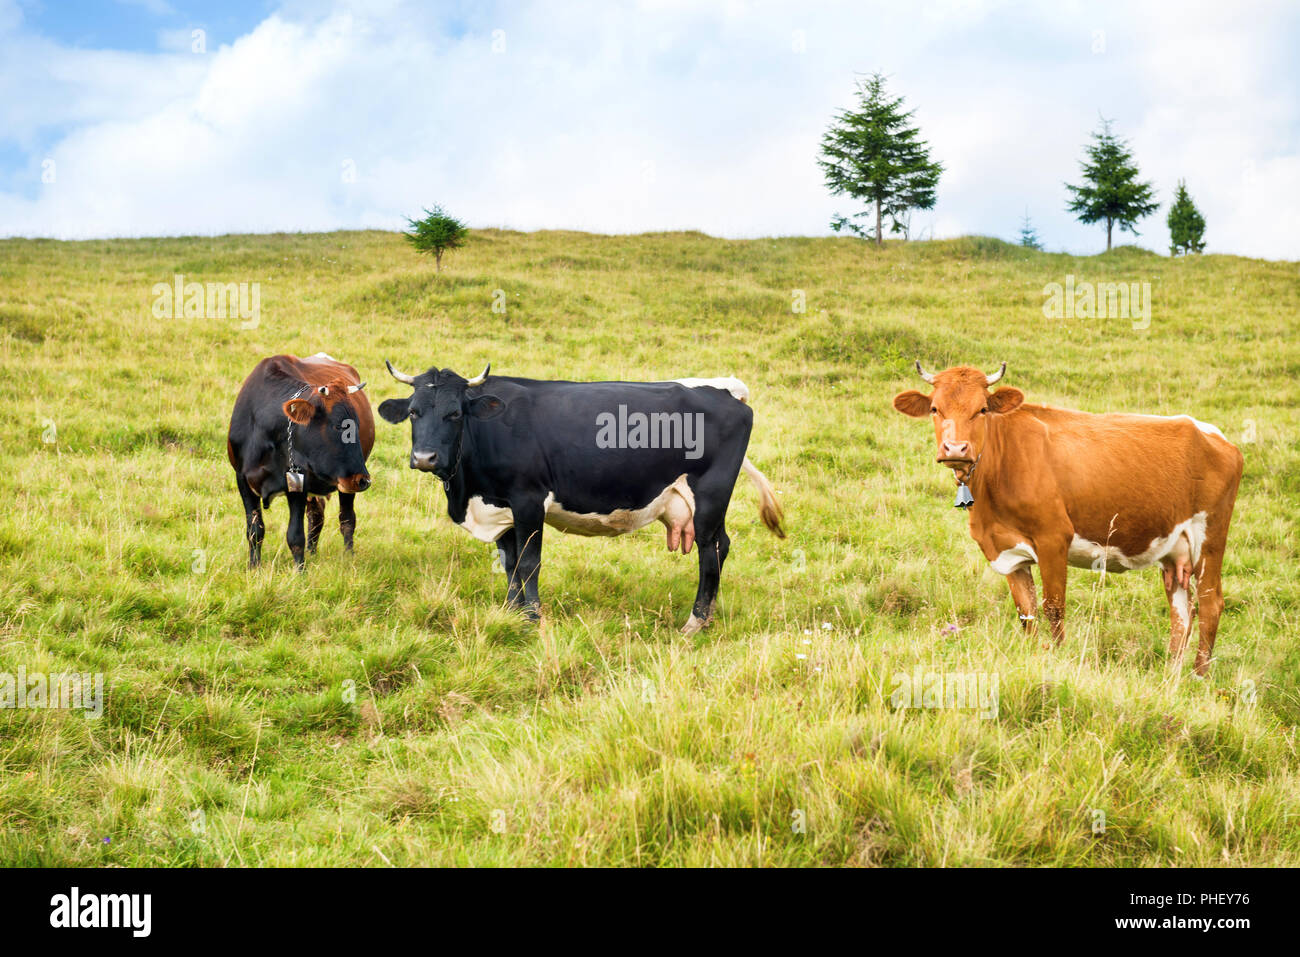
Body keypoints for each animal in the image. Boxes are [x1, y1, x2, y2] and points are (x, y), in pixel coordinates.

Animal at [227, 353, 375, 568]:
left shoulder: (297, 485)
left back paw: (348, 556)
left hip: (345, 486)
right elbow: (255, 530)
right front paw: (254, 567)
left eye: (356, 424)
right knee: (317, 515)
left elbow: (295, 536)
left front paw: (300, 572)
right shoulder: (243, 480)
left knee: (347, 520)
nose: (363, 480)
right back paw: (312, 553)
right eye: (338, 426)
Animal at [377, 360, 785, 633]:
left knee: (710, 550)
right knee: (722, 544)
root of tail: (727, 388)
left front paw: (533, 619)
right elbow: (510, 564)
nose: (424, 458)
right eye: (413, 412)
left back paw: (695, 621)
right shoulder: (501, 507)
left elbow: (529, 563)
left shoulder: (528, 499)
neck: (469, 493)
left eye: (455, 413)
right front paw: (511, 614)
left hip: (710, 494)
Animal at [893, 361, 1242, 675]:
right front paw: (1032, 656)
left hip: (1210, 539)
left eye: (981, 409)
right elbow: (1027, 613)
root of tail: (1213, 433)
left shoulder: (1053, 539)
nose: (955, 448)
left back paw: (1198, 676)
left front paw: (1057, 659)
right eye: (935, 408)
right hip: (1174, 551)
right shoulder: (1007, 552)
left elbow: (1053, 607)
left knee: (1210, 603)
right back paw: (1170, 675)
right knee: (1182, 611)